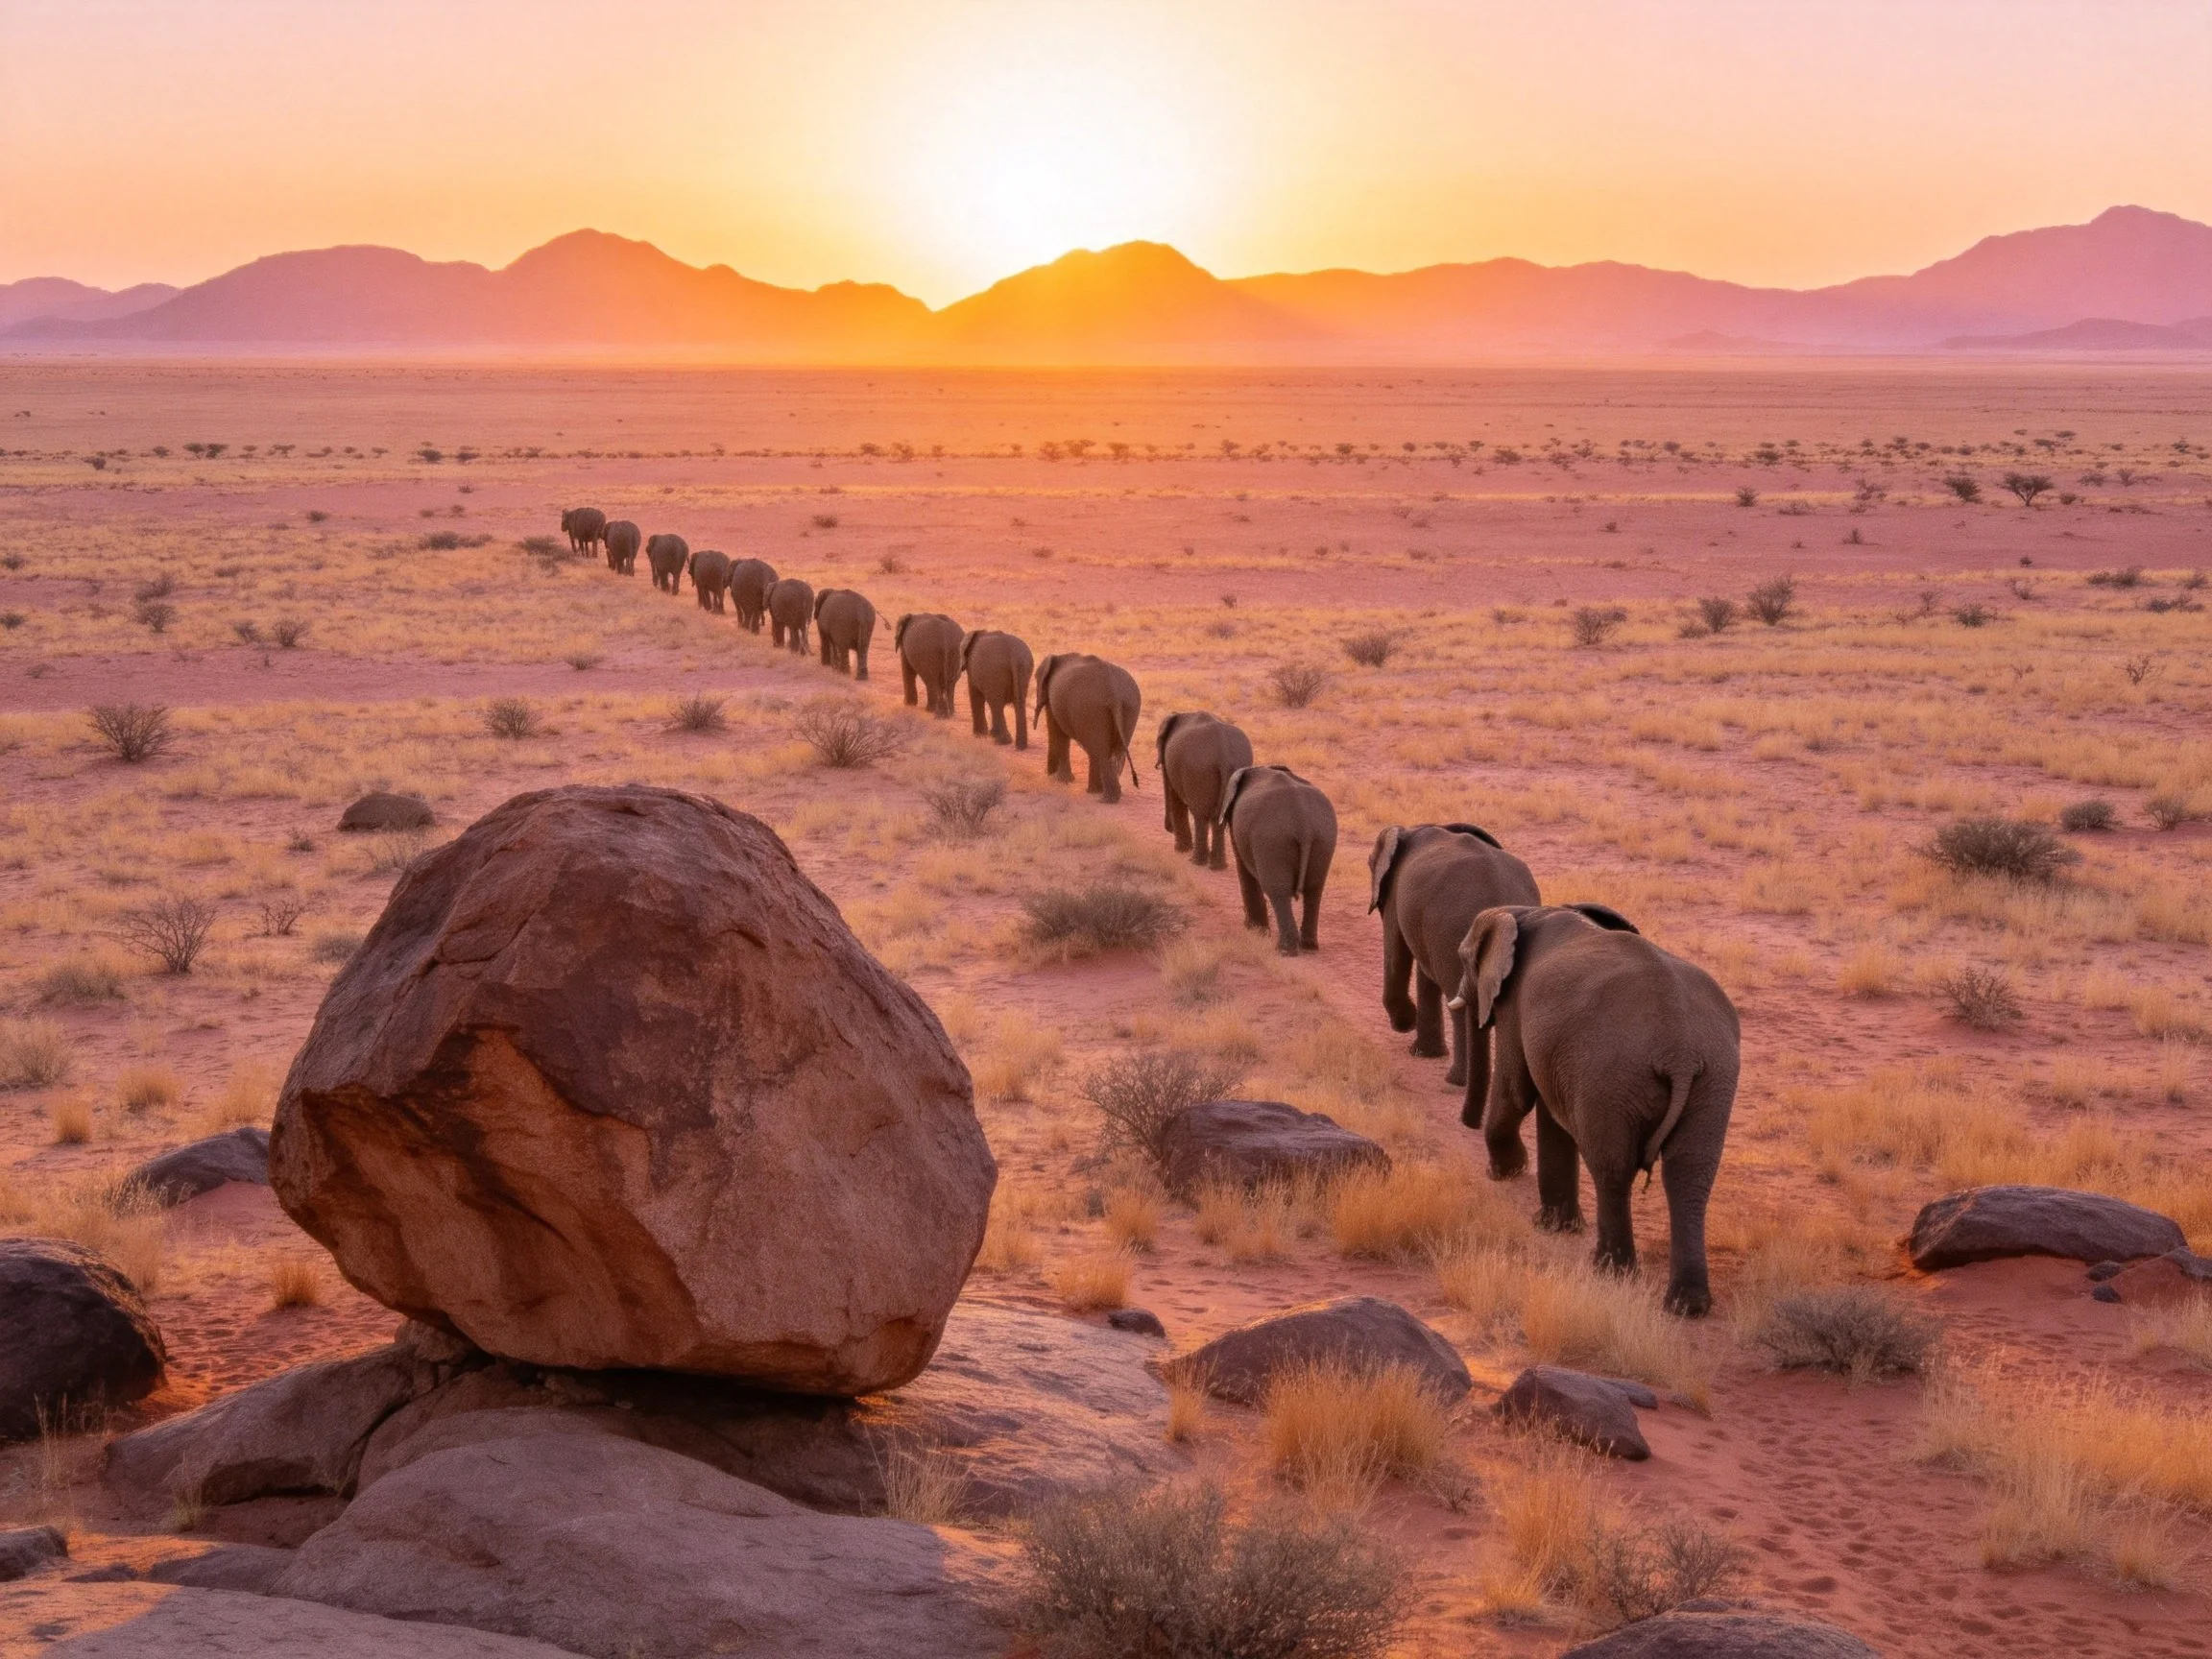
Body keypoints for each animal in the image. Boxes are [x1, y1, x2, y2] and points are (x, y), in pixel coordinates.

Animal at [1035, 652, 1141, 802]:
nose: (1047, 773)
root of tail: (1113, 691)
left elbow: (1057, 732)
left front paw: (1059, 780)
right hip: (1129, 707)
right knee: (1109, 751)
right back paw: (1099, 793)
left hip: (1090, 707)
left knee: (1100, 751)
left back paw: (1105, 799)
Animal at [1156, 711, 1252, 870]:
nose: (1168, 828)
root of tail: (1225, 755)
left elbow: (1175, 795)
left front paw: (1181, 850)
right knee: (1218, 819)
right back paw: (1217, 866)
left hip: (1198, 771)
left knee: (1200, 815)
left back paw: (1196, 862)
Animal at [1219, 765, 1336, 955]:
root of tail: (1303, 823)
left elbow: (1244, 869)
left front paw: (1255, 930)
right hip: (1324, 837)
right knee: (1314, 889)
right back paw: (1308, 946)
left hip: (1273, 840)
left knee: (1277, 890)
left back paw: (1285, 950)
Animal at [1369, 823, 1541, 1102]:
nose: (1405, 1025)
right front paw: (1423, 1052)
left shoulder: (1396, 894)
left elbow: (1396, 949)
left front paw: (1407, 1025)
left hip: (1452, 931)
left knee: (1459, 1002)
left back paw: (1456, 1081)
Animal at [1450, 903, 1740, 1317]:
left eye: (1463, 959)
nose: (1465, 1122)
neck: (1525, 913)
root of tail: (1680, 1052)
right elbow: (1550, 1115)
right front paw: (1552, 1224)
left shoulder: (1515, 1007)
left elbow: (1516, 1091)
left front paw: (1504, 1173)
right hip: (1714, 1077)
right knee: (1690, 1176)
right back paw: (1687, 1306)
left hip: (1611, 1077)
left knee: (1612, 1168)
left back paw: (1610, 1272)